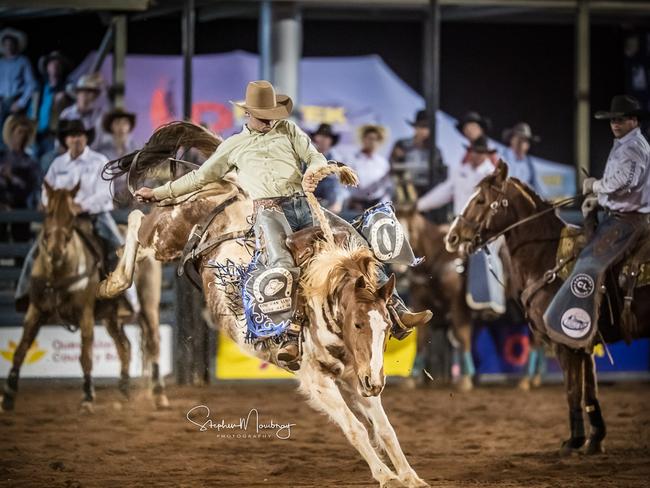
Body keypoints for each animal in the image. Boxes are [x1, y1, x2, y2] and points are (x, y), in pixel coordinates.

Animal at [1, 183, 168, 412]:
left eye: (71, 216)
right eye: (49, 213)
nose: (56, 249)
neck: (59, 271)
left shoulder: (85, 312)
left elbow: (86, 355)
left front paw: (88, 396)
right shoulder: (35, 309)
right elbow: (21, 349)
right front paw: (8, 395)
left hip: (148, 305)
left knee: (153, 341)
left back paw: (159, 394)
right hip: (111, 318)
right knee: (124, 345)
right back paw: (124, 390)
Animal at [442, 162, 648, 456]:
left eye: (481, 200)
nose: (452, 236)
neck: (547, 255)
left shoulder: (566, 342)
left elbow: (573, 391)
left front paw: (574, 441)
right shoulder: (583, 344)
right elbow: (589, 390)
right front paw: (594, 439)